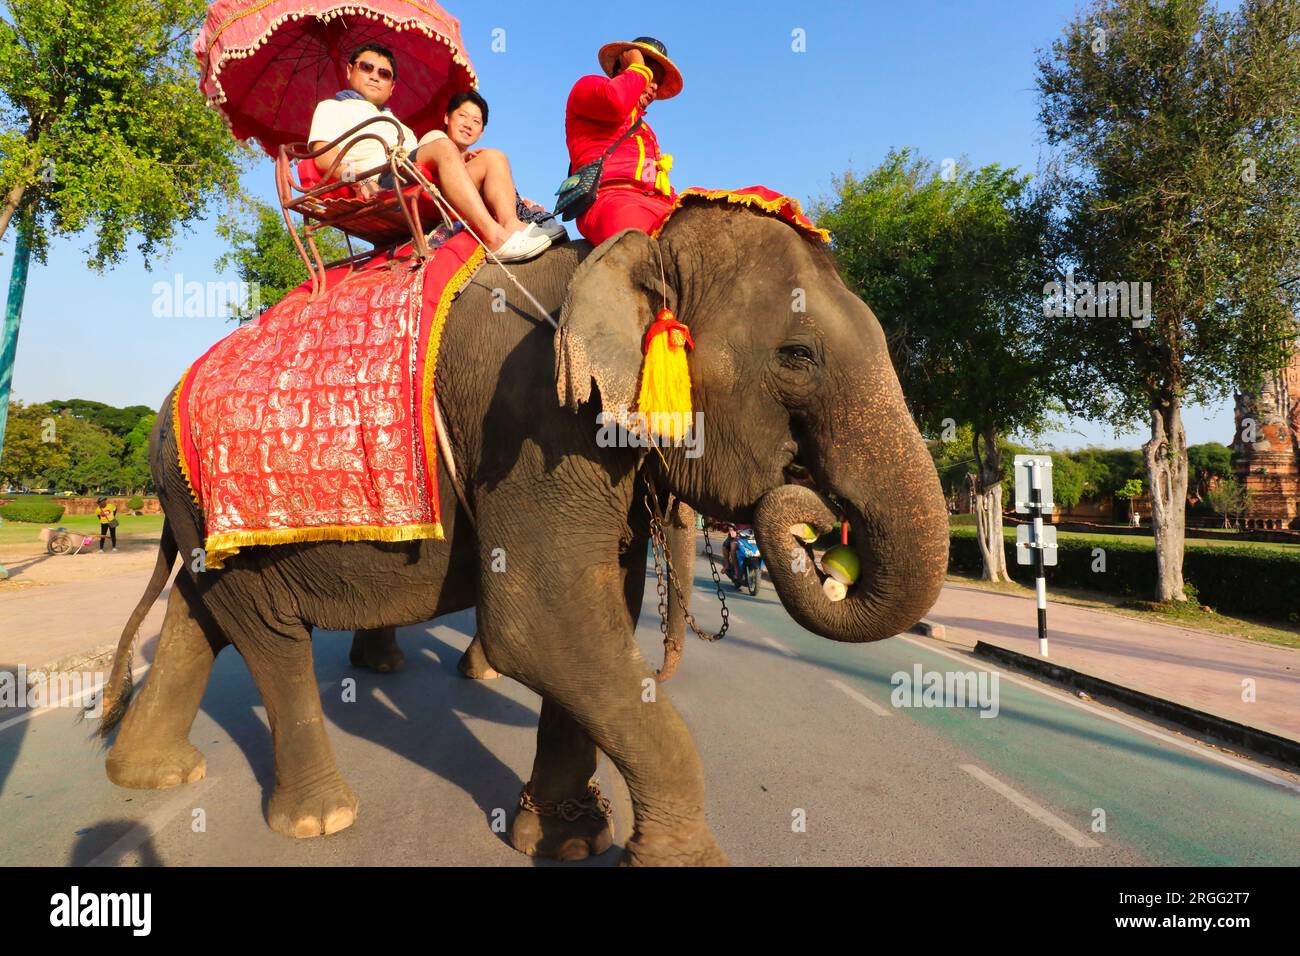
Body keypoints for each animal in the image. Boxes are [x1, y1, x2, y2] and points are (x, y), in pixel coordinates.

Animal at [94, 201, 946, 868]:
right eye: (798, 356)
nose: (815, 519)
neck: (633, 249)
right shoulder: (538, 421)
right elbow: (545, 624)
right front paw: (682, 858)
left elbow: (598, 618)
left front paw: (568, 839)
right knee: (268, 635)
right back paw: (320, 819)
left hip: (195, 518)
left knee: (202, 615)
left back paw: (152, 776)